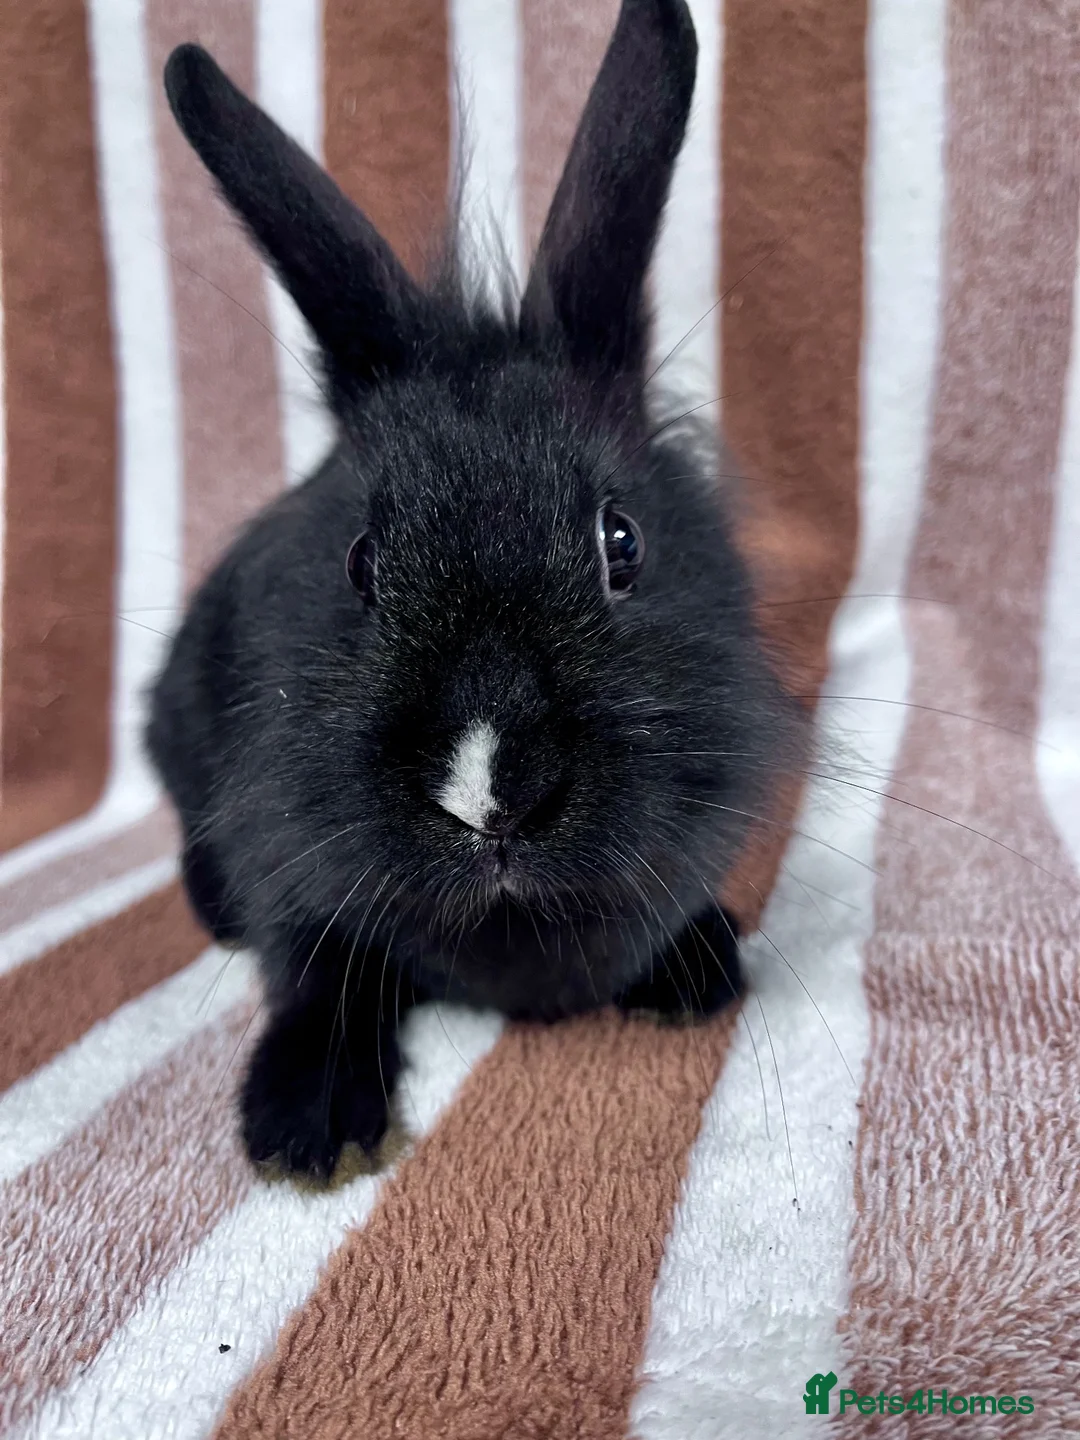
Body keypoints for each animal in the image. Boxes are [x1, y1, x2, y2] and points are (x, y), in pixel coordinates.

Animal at [148, 0, 804, 1179]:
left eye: (622, 542)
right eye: (361, 561)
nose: (490, 797)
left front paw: (697, 971)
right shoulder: (287, 856)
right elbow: (316, 970)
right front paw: (305, 1127)